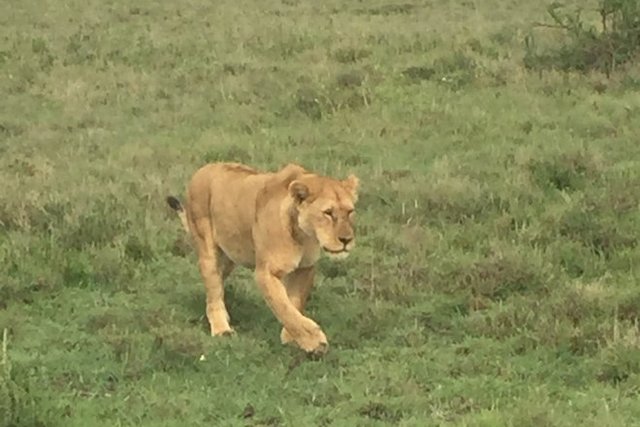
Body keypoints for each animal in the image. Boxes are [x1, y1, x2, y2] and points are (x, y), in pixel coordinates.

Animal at [166, 161, 360, 354]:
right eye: (328, 212)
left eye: (350, 212)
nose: (346, 240)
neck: (304, 235)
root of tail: (203, 169)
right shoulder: (266, 272)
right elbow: (284, 307)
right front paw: (313, 341)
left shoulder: (305, 268)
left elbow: (294, 303)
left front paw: (290, 338)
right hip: (207, 249)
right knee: (213, 289)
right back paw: (222, 329)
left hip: (230, 256)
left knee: (219, 283)